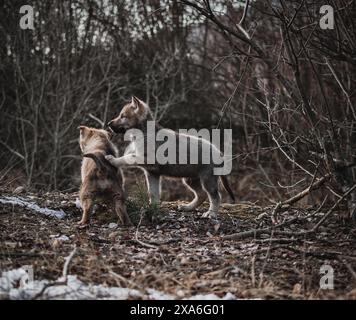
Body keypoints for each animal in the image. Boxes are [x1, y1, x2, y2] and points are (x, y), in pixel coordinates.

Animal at [104, 96, 235, 219]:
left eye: (123, 116)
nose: (108, 124)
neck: (144, 132)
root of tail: (220, 153)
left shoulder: (146, 159)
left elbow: (127, 157)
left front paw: (113, 160)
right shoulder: (152, 173)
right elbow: (153, 193)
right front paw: (153, 208)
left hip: (207, 179)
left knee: (215, 196)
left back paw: (211, 213)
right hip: (191, 179)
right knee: (201, 195)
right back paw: (188, 207)